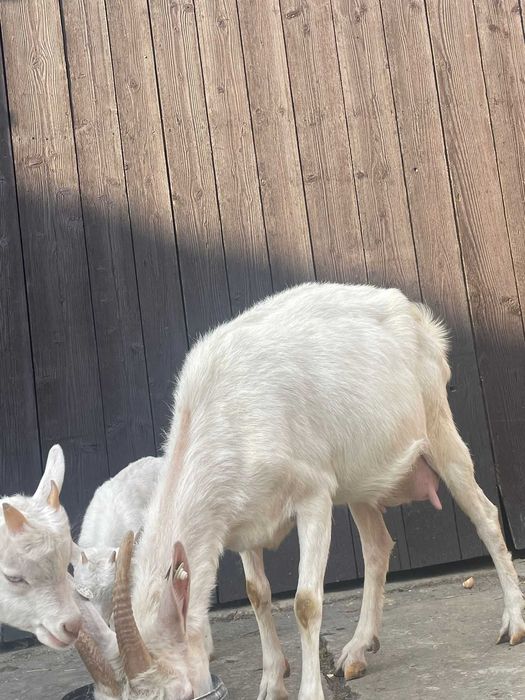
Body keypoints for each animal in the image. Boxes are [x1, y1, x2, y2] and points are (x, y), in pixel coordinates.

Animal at [74, 283, 524, 700]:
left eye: (174, 693)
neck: (223, 411)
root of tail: (417, 318)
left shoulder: (314, 497)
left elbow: (306, 602)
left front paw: (308, 690)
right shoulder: (239, 522)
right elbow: (257, 593)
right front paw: (272, 682)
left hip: (437, 423)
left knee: (484, 514)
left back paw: (512, 624)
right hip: (359, 478)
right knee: (378, 546)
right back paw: (357, 651)